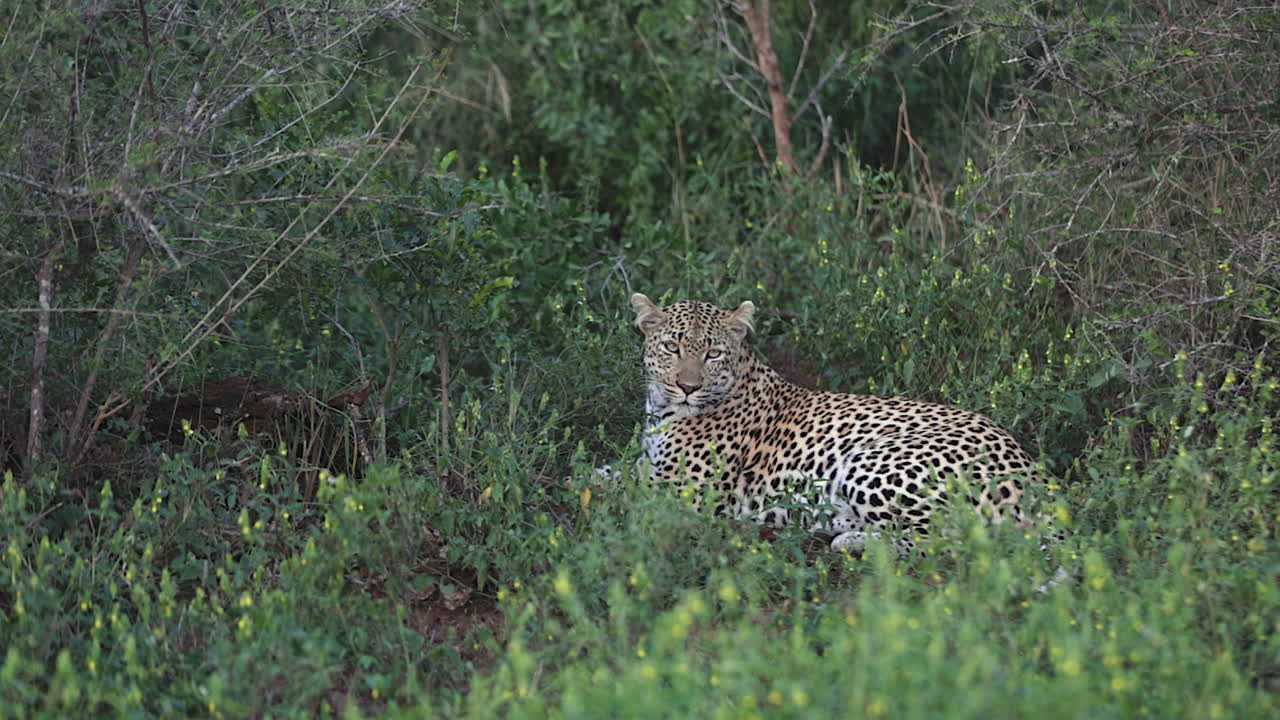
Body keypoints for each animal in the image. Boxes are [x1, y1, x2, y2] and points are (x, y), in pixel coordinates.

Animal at [619, 292, 1055, 557]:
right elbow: (616, 472)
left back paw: (849, 541)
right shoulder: (651, 468)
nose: (688, 387)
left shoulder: (683, 491)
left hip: (874, 461)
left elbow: (619, 487)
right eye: (671, 347)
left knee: (958, 540)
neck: (662, 410)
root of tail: (1031, 473)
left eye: (712, 354)